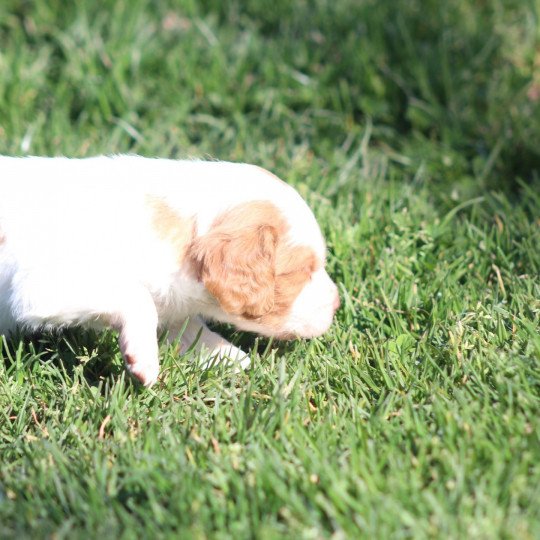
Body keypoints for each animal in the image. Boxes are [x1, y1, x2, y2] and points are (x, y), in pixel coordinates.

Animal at [0, 154, 338, 386]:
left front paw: (243, 366)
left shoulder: (173, 304)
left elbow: (194, 332)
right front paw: (143, 358)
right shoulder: (42, 285)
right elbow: (136, 297)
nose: (336, 304)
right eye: (302, 270)